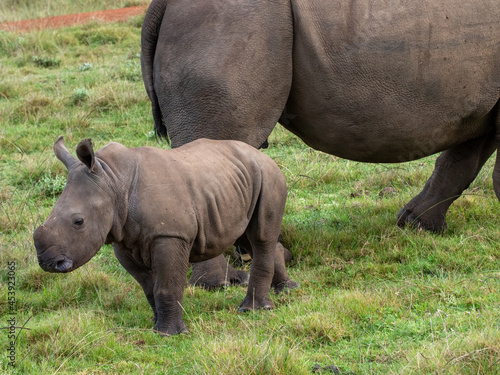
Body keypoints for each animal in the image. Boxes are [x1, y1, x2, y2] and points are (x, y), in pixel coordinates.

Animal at [34, 137, 296, 336]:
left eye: (78, 222)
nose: (48, 263)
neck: (112, 180)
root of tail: (261, 154)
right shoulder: (122, 240)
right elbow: (149, 286)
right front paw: (155, 324)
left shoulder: (170, 235)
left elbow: (166, 286)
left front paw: (169, 334)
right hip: (235, 182)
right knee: (245, 236)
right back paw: (285, 290)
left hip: (268, 176)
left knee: (260, 237)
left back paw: (253, 310)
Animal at [140, 0, 500, 284]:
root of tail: (164, 4)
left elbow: (462, 160)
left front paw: (417, 226)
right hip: (227, 27)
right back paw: (225, 282)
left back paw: (263, 258)